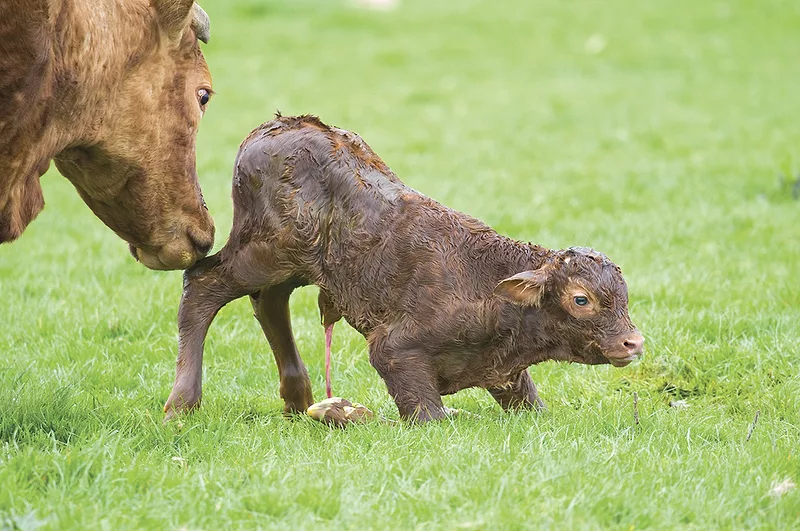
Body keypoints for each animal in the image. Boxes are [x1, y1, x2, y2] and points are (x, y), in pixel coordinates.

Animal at [164, 115, 644, 422]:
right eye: (581, 299)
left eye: (623, 296)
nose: (633, 342)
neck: (486, 286)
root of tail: (274, 128)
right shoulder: (395, 349)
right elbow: (427, 413)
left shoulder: (503, 371)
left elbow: (529, 402)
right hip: (264, 254)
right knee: (203, 284)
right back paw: (182, 405)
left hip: (291, 267)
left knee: (268, 304)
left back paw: (298, 401)